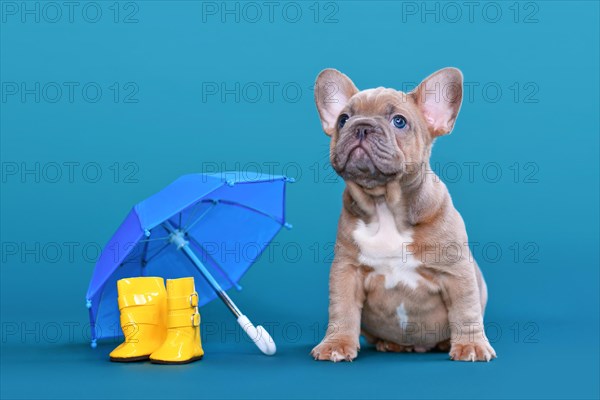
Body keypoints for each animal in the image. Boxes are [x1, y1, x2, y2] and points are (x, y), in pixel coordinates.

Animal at [310, 67, 496, 360]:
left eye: (399, 121)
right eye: (343, 119)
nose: (361, 126)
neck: (385, 206)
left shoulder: (456, 271)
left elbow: (466, 311)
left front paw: (471, 346)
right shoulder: (347, 271)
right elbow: (342, 310)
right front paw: (336, 344)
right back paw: (392, 344)